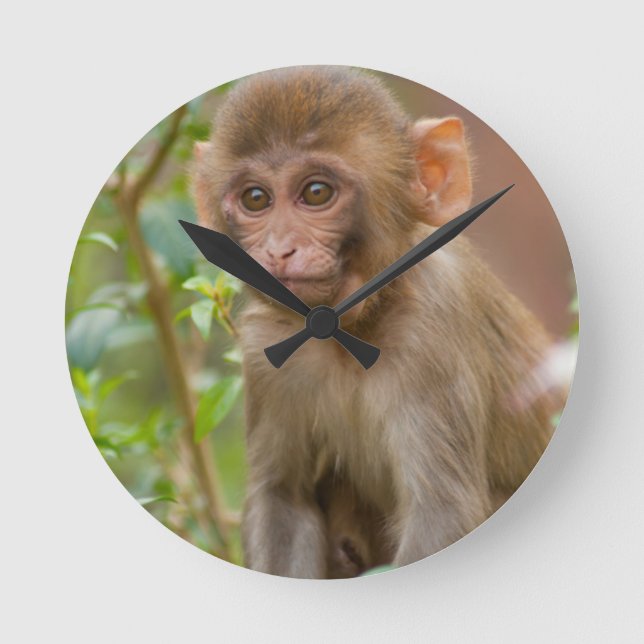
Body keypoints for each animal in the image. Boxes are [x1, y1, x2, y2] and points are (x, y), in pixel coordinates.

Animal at [192, 66, 564, 578]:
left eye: (316, 193)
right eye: (255, 199)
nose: (280, 250)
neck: (353, 330)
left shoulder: (432, 328)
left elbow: (440, 515)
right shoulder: (266, 347)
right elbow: (284, 498)